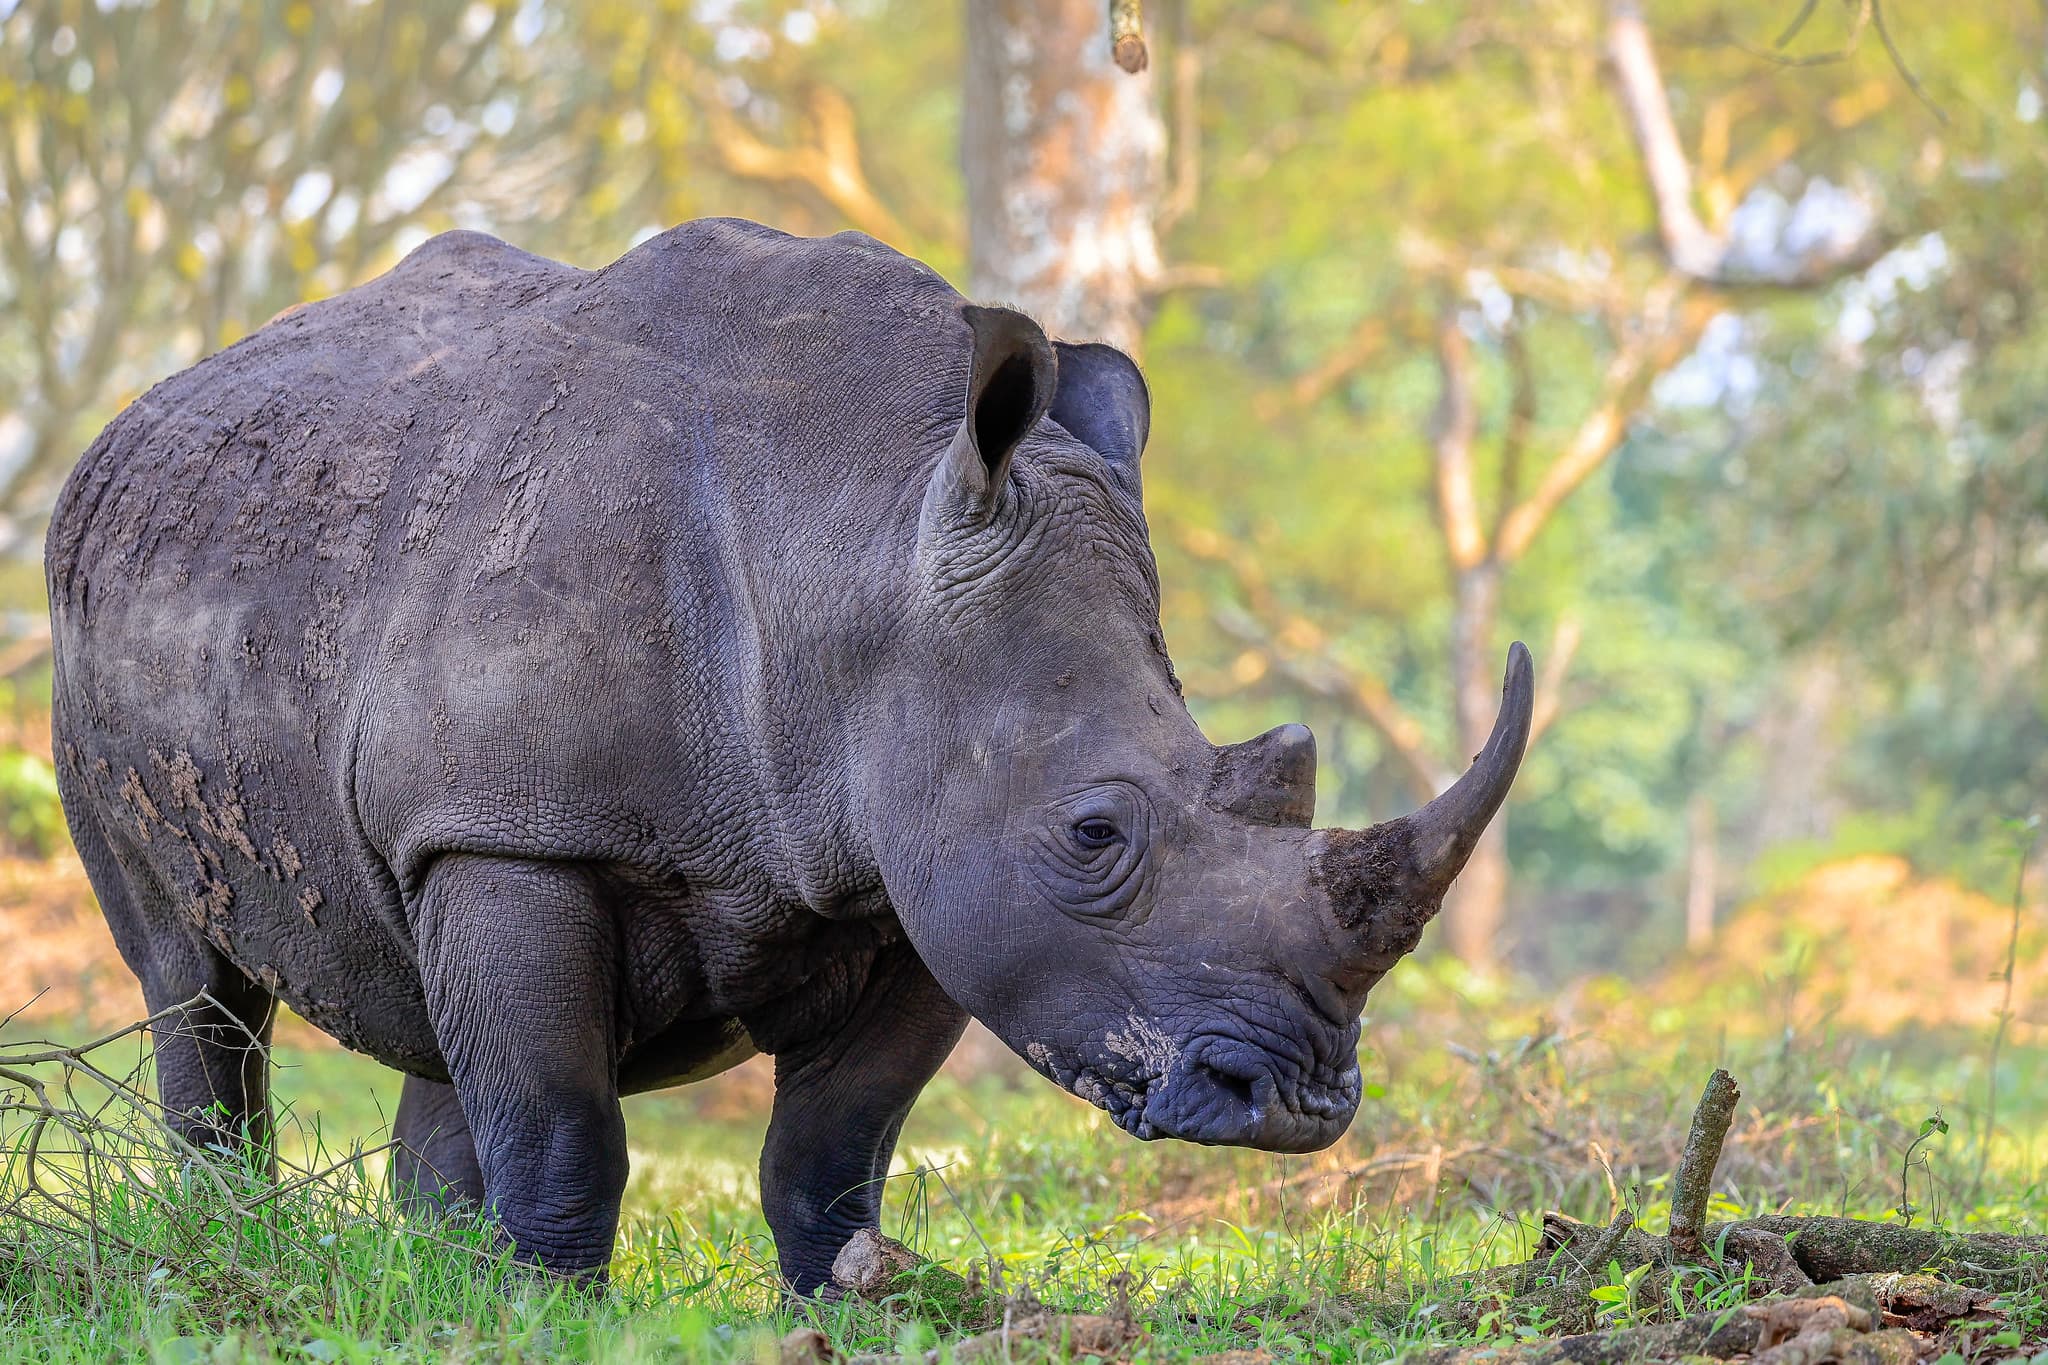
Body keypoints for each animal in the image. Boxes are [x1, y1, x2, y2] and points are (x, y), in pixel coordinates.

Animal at [46, 219, 1530, 1290]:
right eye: (1093, 834)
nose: (1294, 1103)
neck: (853, 536)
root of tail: (134, 419)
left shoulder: (913, 865)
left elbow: (830, 1148)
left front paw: (844, 1302)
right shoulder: (512, 826)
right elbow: (563, 1122)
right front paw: (546, 1316)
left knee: (430, 1018)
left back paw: (435, 1277)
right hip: (97, 639)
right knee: (194, 986)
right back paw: (241, 1246)